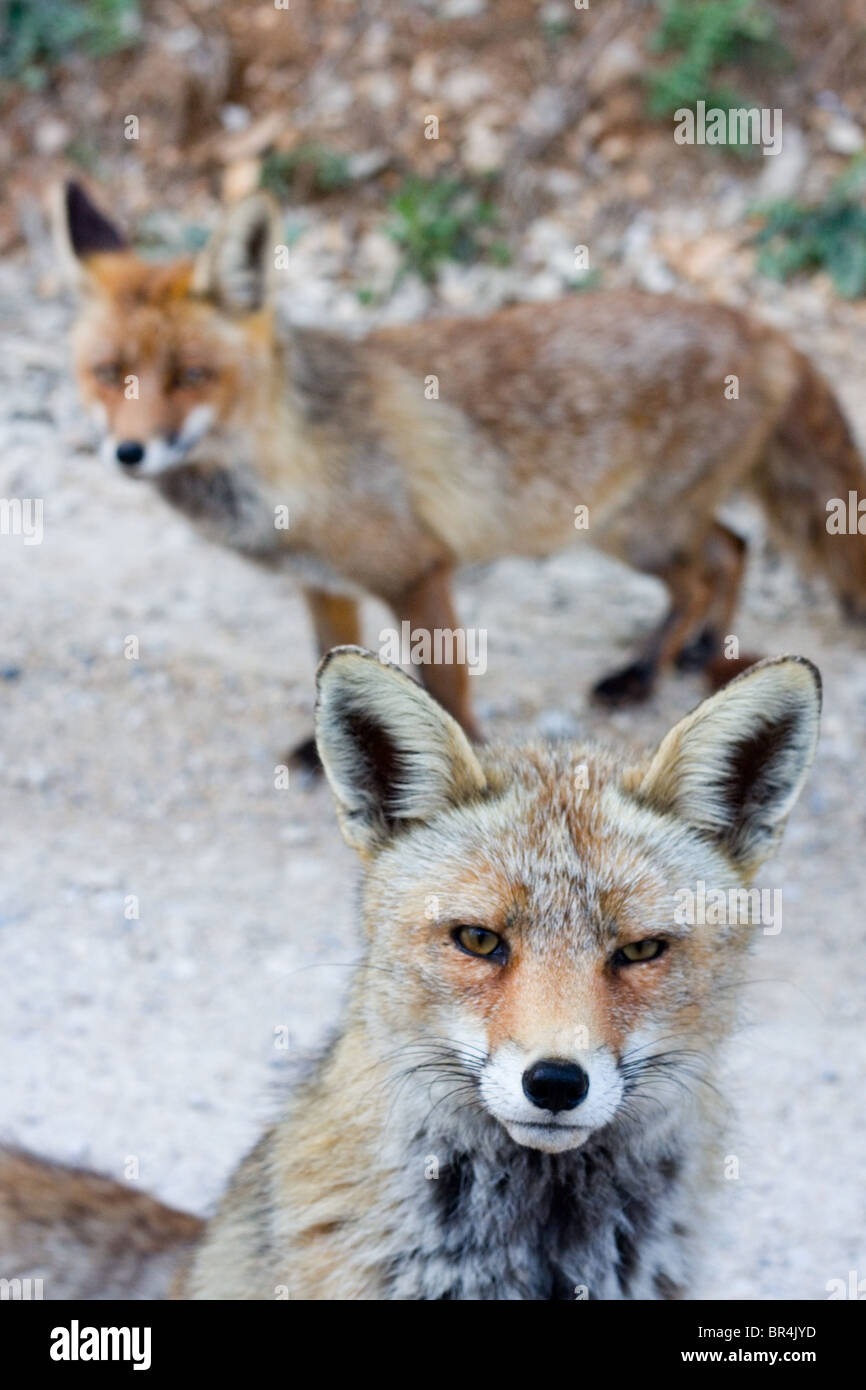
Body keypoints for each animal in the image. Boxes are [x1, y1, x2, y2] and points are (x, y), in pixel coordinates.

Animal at [57, 182, 861, 761]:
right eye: (109, 373)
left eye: (191, 375)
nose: (130, 452)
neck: (290, 460)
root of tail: (759, 328)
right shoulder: (323, 585)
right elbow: (326, 664)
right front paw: (327, 752)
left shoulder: (419, 569)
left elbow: (444, 680)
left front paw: (463, 755)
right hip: (649, 526)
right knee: (732, 548)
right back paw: (703, 653)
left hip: (634, 531)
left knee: (705, 570)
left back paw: (641, 676)